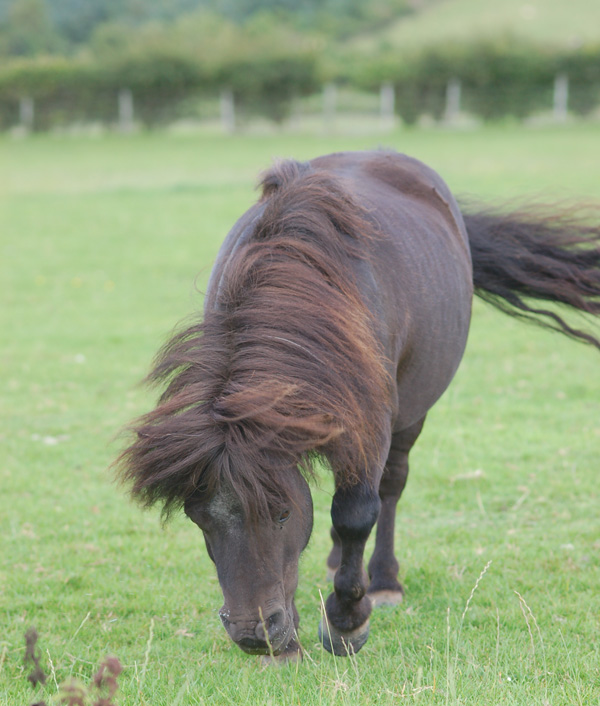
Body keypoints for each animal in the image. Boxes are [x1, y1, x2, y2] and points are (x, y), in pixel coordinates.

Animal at [117, 151, 600, 656]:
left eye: (282, 512)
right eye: (199, 518)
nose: (254, 635)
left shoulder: (371, 424)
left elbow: (355, 514)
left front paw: (346, 621)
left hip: (410, 414)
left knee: (390, 487)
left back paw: (384, 580)